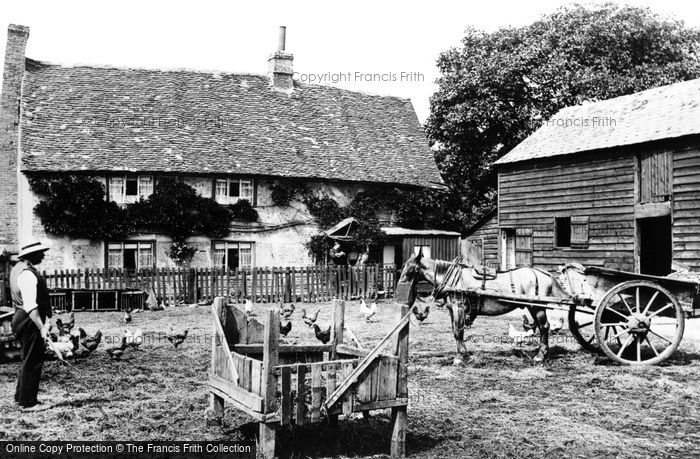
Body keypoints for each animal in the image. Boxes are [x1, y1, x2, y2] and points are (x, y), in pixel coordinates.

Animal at [396, 252, 568, 362]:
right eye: (404, 265)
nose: (401, 283)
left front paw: (459, 357)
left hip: (537, 307)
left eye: (411, 267)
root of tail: (544, 273)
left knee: (544, 327)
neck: (452, 278)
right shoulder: (452, 310)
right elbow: (455, 331)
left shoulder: (459, 308)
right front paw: (464, 353)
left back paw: (540, 355)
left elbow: (458, 331)